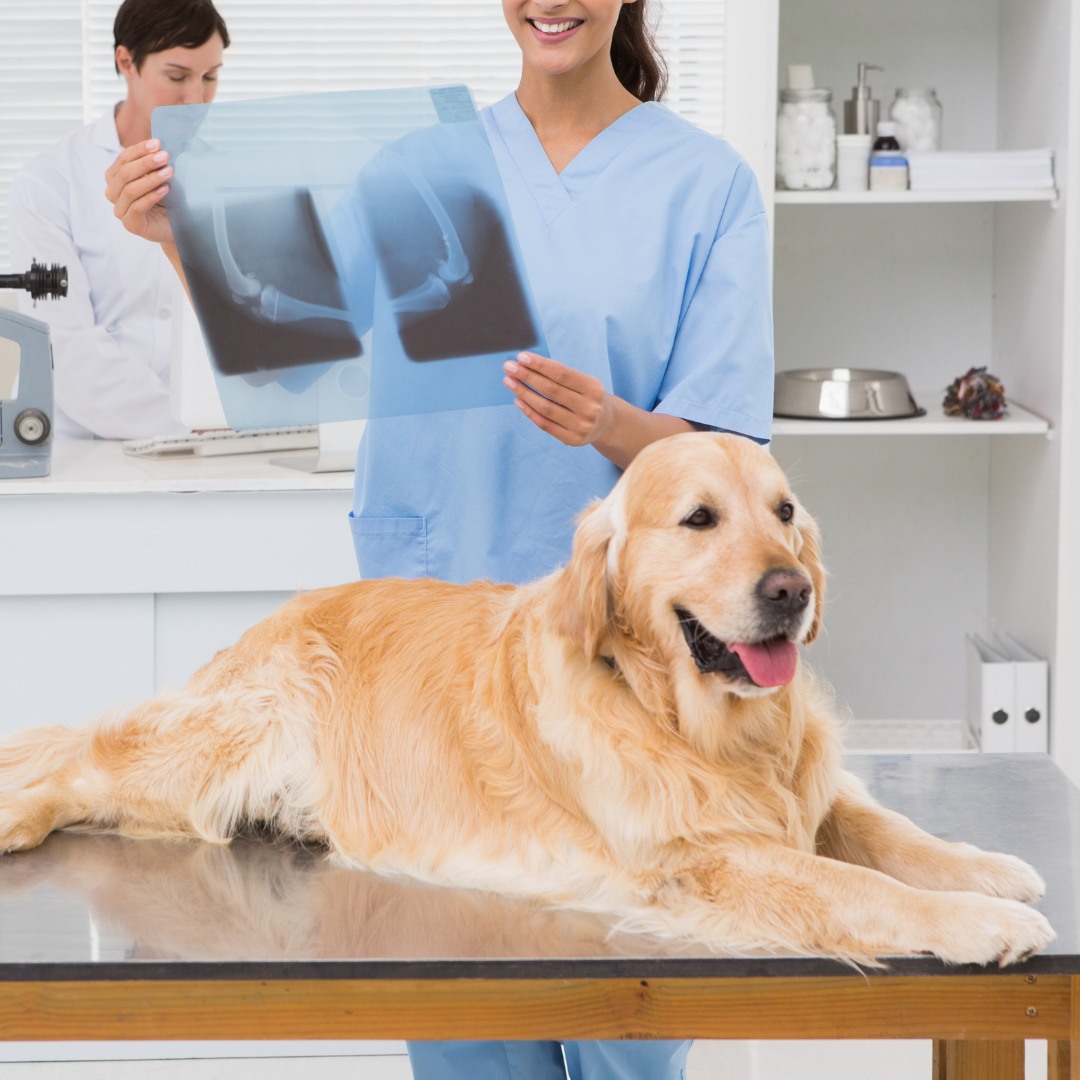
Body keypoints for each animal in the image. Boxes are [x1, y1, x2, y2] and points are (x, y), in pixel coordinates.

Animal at [0, 434, 1054, 967]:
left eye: (785, 512)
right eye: (699, 519)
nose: (791, 590)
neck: (698, 725)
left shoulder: (803, 793)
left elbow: (888, 833)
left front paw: (988, 870)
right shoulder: (697, 862)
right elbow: (858, 886)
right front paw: (979, 926)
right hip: (223, 738)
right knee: (80, 758)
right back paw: (19, 816)